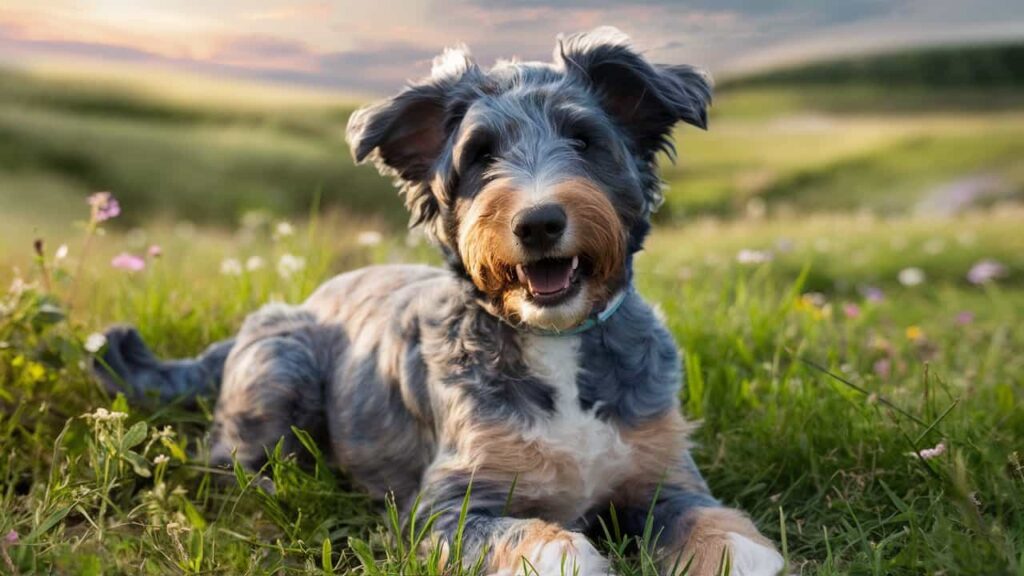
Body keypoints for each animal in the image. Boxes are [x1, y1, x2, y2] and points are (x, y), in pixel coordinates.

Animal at [96, 26, 782, 573]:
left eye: (585, 141)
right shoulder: (444, 508)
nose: (538, 223)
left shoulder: (664, 474)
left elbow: (708, 520)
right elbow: (539, 542)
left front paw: (734, 548)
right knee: (230, 460)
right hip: (279, 364)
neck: (553, 341)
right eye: (480, 155)